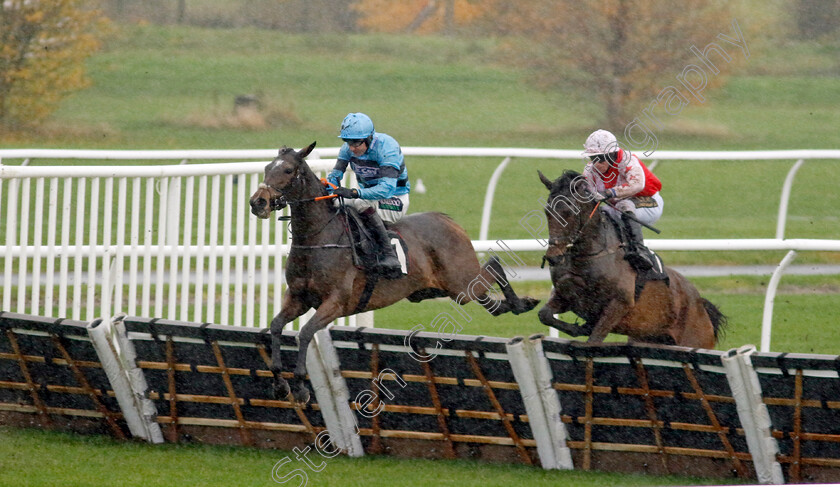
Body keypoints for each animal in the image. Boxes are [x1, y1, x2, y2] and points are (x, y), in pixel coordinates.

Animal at [249, 142, 540, 404]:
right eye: (266, 167)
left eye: (288, 170)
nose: (258, 202)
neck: (319, 237)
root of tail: (448, 220)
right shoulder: (298, 298)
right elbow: (275, 326)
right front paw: (280, 383)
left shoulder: (336, 303)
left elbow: (306, 333)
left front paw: (300, 386)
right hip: (438, 289)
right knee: (488, 297)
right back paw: (508, 305)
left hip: (461, 283)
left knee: (494, 264)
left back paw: (522, 302)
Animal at [540, 170, 728, 348]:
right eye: (547, 211)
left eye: (570, 211)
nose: (553, 256)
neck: (591, 254)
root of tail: (701, 305)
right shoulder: (565, 295)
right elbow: (544, 314)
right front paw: (578, 328)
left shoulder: (620, 304)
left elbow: (594, 339)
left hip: (694, 340)